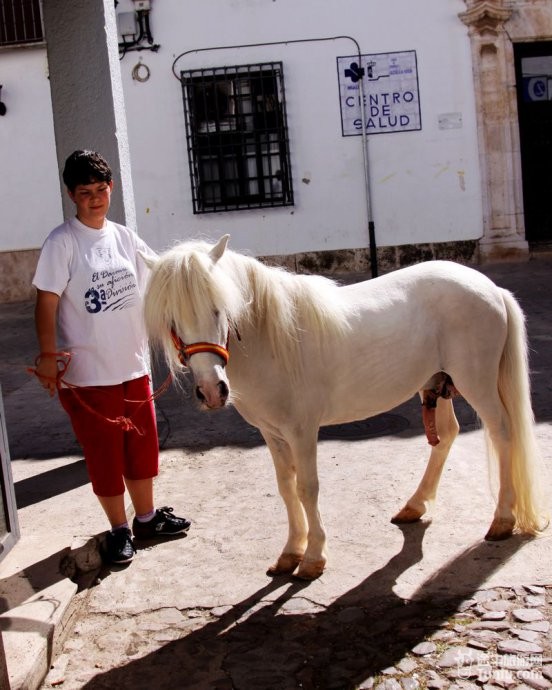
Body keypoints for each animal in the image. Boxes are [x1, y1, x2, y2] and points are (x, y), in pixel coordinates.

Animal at [141, 234, 544, 576]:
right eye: (172, 320)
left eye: (218, 309)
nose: (212, 391)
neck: (270, 340)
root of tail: (491, 288)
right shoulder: (272, 433)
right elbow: (286, 487)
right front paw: (291, 552)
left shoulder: (302, 431)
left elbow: (307, 488)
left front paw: (314, 557)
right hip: (435, 382)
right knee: (447, 435)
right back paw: (414, 506)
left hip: (477, 383)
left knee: (502, 433)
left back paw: (503, 520)